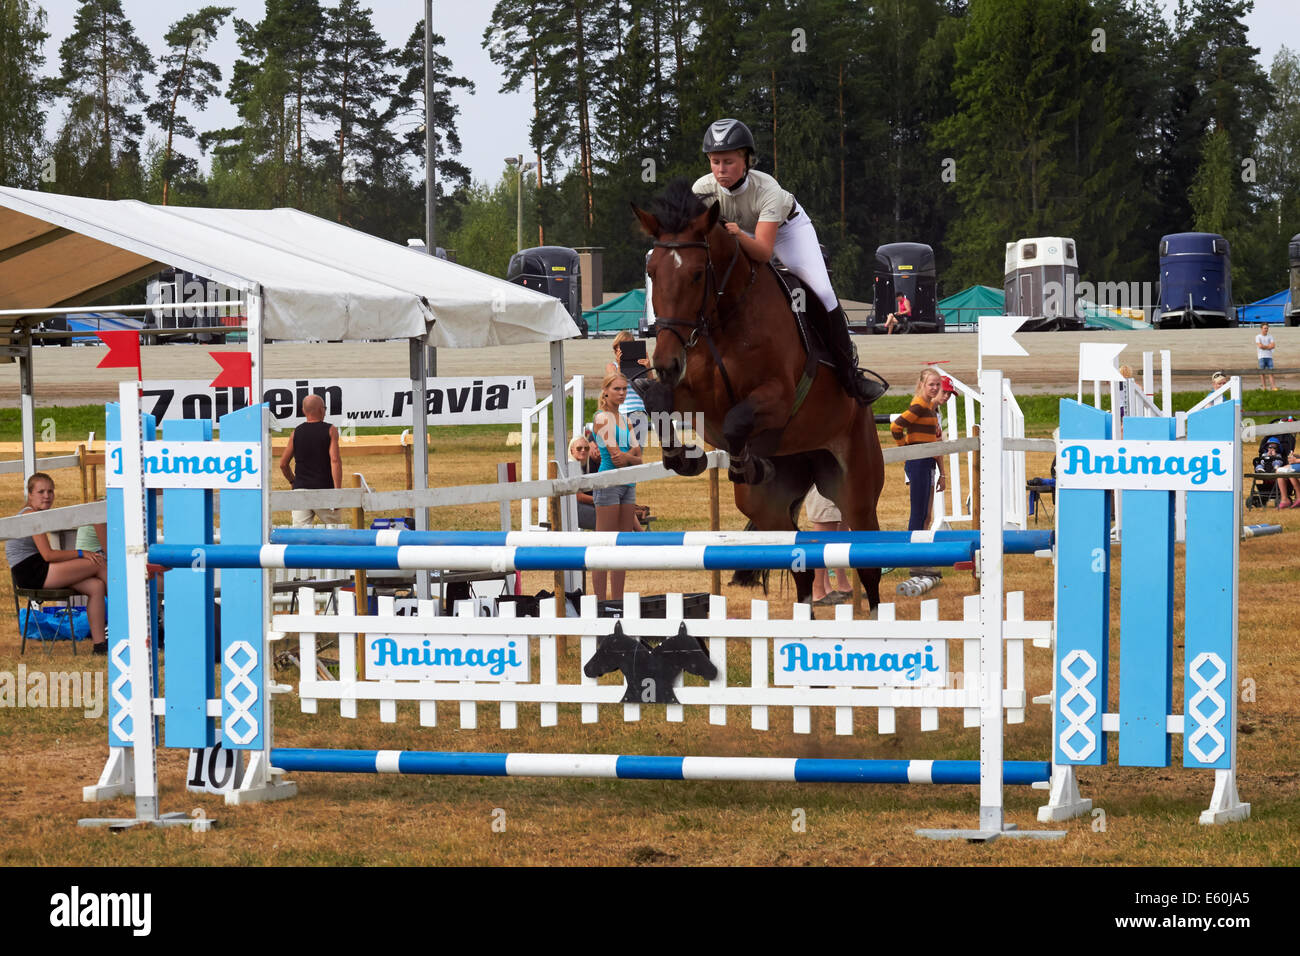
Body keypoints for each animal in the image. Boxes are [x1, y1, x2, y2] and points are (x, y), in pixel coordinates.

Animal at [626, 180, 883, 613]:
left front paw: (745, 463)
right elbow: (657, 401)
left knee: (869, 564)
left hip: (856, 490)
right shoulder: (694, 398)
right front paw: (684, 458)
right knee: (801, 564)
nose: (664, 361)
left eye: (697, 274)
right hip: (767, 507)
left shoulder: (776, 398)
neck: (724, 317)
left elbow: (737, 421)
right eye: (651, 272)